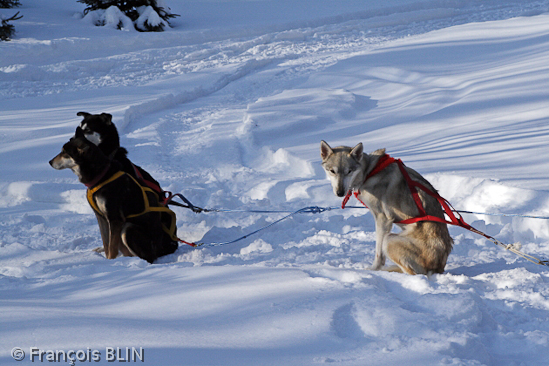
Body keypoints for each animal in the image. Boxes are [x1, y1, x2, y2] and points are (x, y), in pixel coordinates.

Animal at [49, 137, 178, 264]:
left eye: (64, 152)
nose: (50, 162)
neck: (101, 176)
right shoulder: (101, 217)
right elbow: (107, 243)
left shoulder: (114, 218)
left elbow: (111, 247)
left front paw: (110, 262)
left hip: (128, 229)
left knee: (147, 258)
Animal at [318, 140, 452, 274]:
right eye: (332, 171)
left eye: (349, 171)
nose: (340, 193)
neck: (368, 172)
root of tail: (439, 267)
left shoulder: (382, 219)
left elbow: (378, 254)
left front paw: (373, 270)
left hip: (389, 240)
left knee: (413, 273)